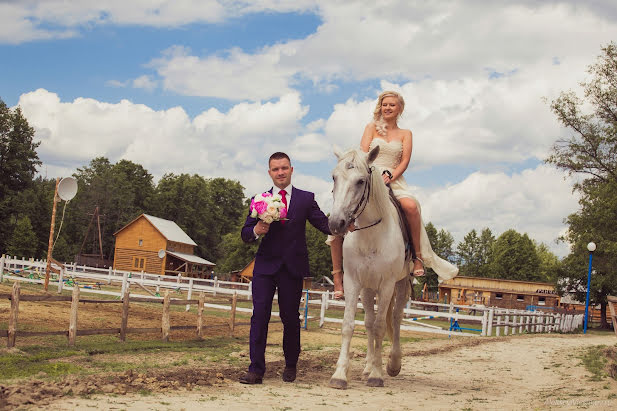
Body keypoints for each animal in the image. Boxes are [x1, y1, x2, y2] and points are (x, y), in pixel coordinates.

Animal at [328, 146, 410, 390]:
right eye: (334, 177)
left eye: (361, 181)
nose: (336, 223)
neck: (371, 234)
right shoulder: (353, 282)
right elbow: (349, 325)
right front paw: (340, 375)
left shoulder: (387, 285)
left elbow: (382, 327)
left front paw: (377, 374)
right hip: (367, 288)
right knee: (369, 323)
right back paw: (367, 366)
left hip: (401, 284)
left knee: (395, 318)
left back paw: (391, 364)